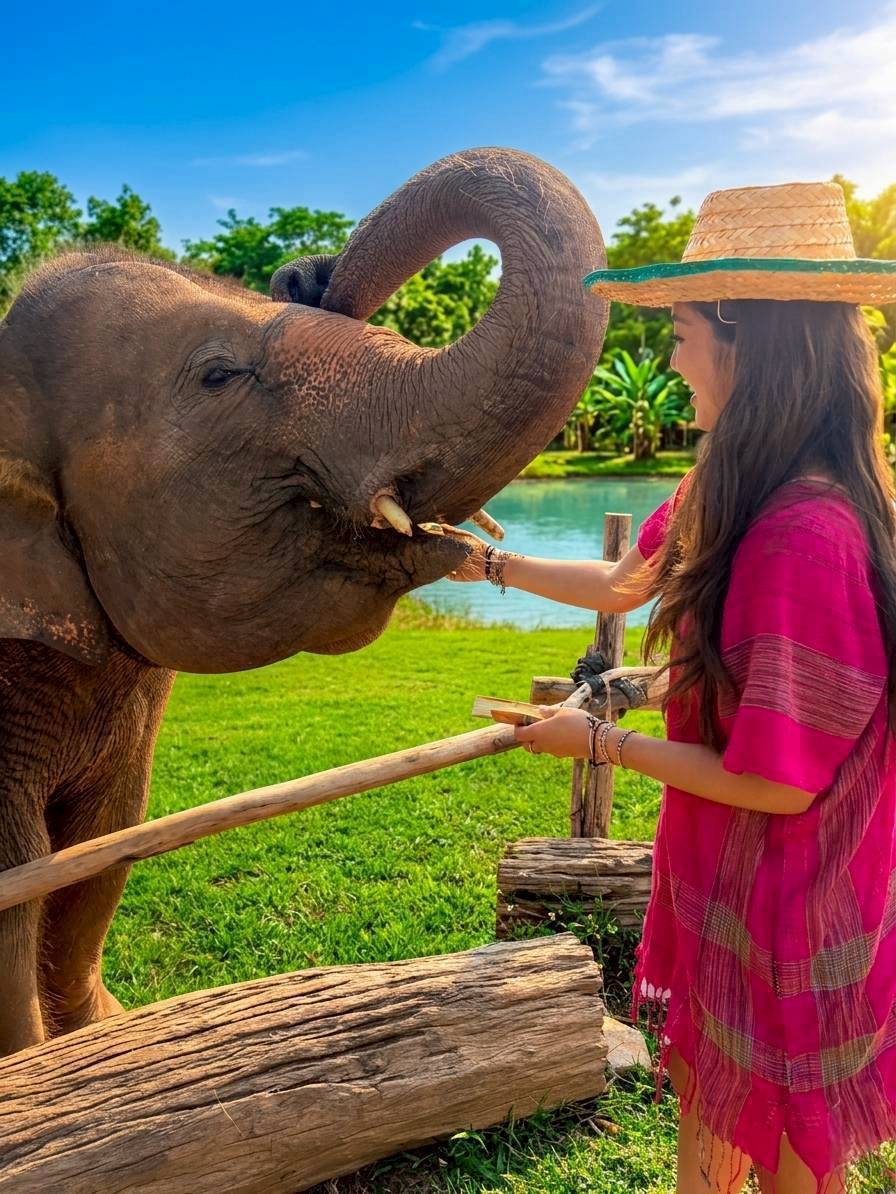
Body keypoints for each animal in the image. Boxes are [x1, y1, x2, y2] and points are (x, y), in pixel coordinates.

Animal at [0, 147, 607, 1056]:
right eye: (218, 375)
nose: (305, 273)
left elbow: (104, 847)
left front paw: (106, 1037)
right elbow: (24, 873)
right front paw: (48, 1066)